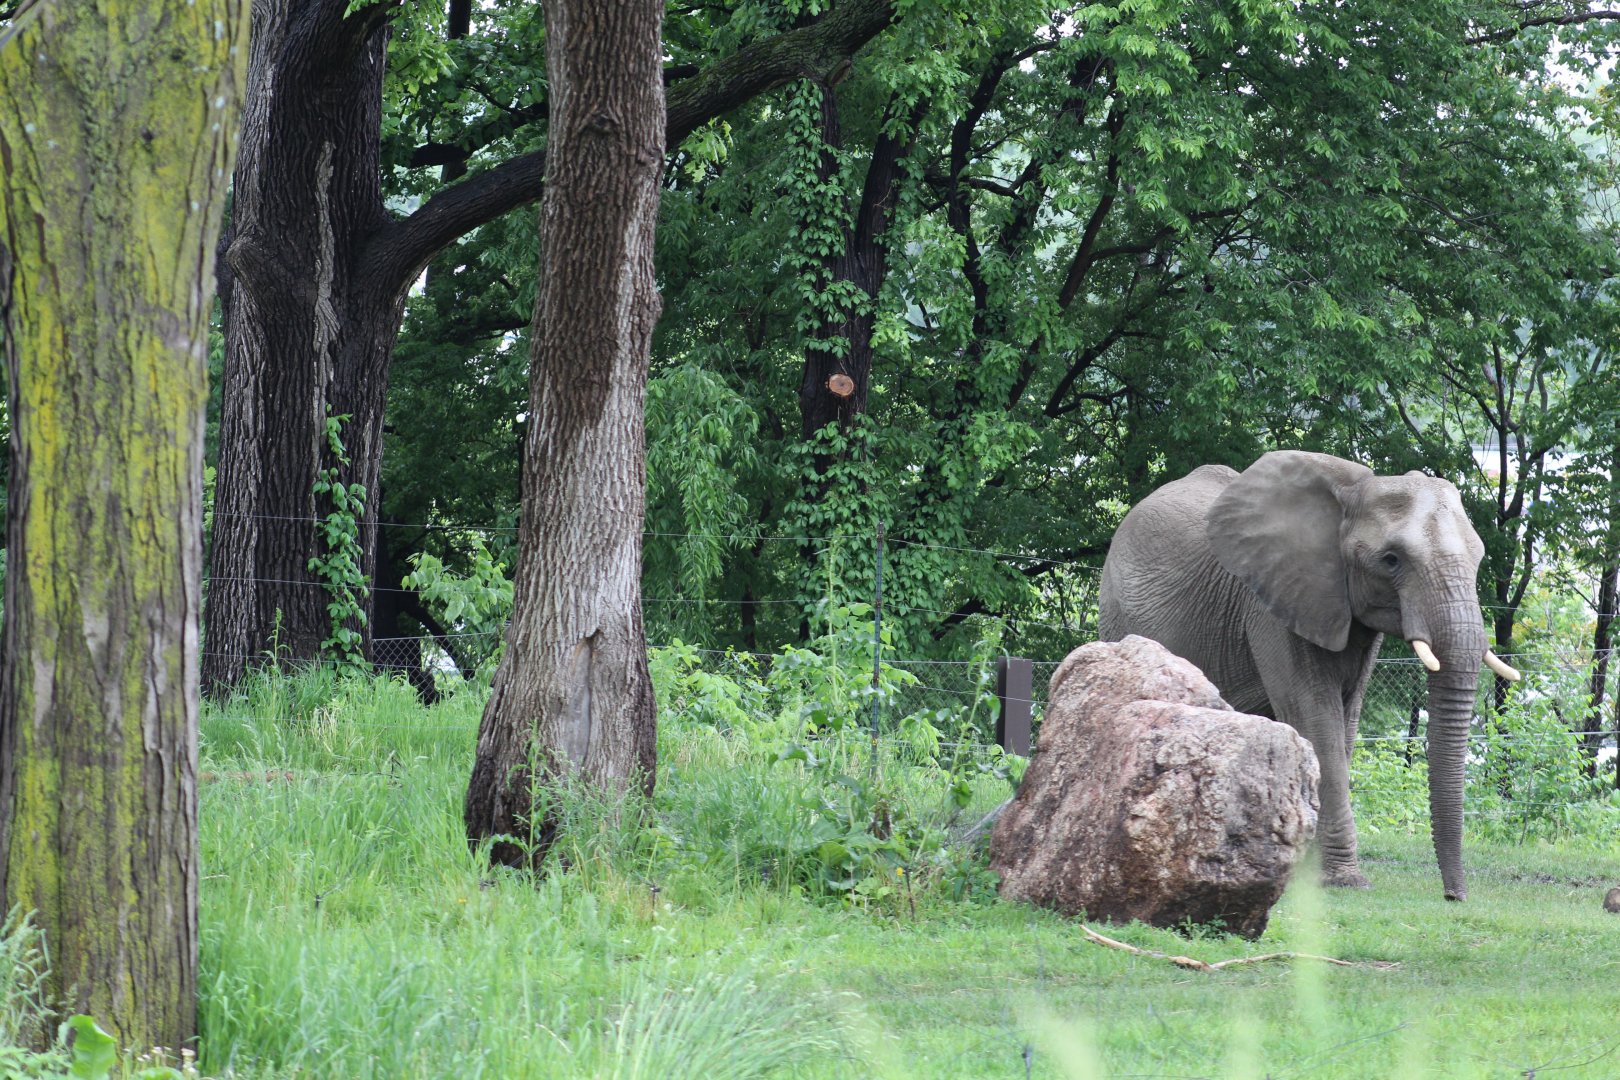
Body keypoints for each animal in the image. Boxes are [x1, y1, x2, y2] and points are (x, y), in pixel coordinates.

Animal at [1098, 450, 1519, 901]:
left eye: (1478, 558)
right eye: (1391, 560)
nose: (1454, 897)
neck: (1351, 495)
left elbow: (1345, 724)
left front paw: (1308, 870)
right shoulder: (1273, 600)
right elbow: (1317, 718)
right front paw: (1343, 880)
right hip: (1118, 611)